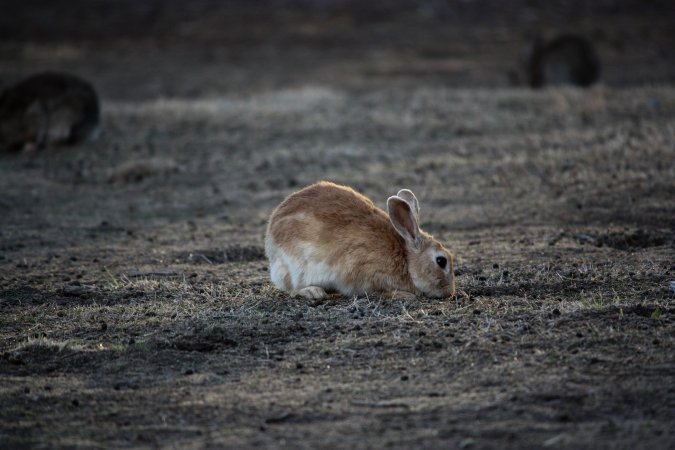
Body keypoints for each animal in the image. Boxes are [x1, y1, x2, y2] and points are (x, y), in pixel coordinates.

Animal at [265, 181, 455, 300]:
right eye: (441, 261)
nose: (450, 292)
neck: (406, 260)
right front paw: (404, 295)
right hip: (293, 267)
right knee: (291, 288)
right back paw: (313, 292)